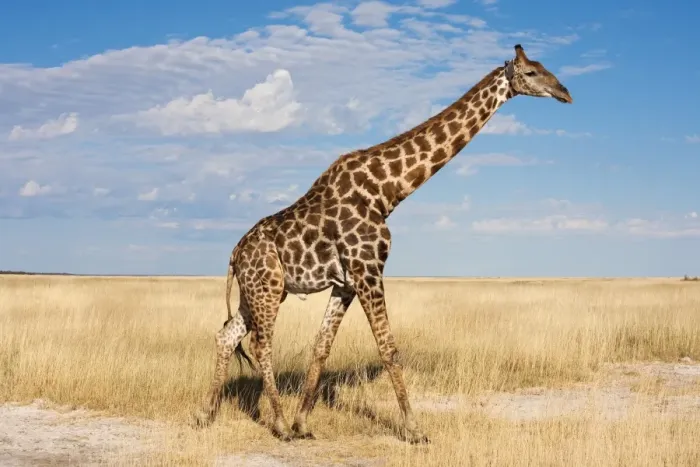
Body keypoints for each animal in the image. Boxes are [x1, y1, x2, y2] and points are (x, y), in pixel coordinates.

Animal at [193, 44, 573, 443]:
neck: (387, 191)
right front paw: (414, 429)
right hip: (266, 289)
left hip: (260, 291)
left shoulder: (347, 282)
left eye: (544, 67)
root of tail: (235, 254)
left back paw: (207, 414)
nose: (565, 93)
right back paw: (278, 425)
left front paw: (304, 423)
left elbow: (321, 347)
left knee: (227, 334)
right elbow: (388, 348)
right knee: (260, 344)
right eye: (531, 72)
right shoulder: (369, 270)